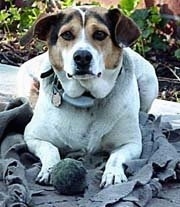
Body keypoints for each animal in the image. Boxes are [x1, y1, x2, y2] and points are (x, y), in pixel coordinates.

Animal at [16, 5, 158, 188]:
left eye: (100, 34)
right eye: (67, 34)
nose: (82, 57)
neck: (85, 98)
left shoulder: (131, 143)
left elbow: (116, 157)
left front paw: (113, 174)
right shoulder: (33, 136)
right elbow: (50, 149)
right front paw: (49, 169)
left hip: (149, 83)